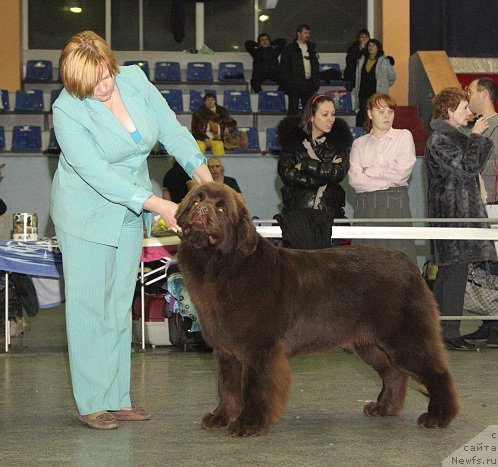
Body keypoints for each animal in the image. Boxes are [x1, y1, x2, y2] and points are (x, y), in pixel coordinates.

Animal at [175, 181, 460, 436]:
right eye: (196, 201)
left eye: (222, 209)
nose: (202, 210)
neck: (220, 266)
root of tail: (410, 266)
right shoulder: (226, 351)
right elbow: (227, 387)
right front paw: (220, 418)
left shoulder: (260, 348)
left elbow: (255, 388)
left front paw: (248, 424)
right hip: (371, 344)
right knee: (394, 373)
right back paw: (383, 408)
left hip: (406, 337)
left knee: (437, 373)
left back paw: (438, 417)